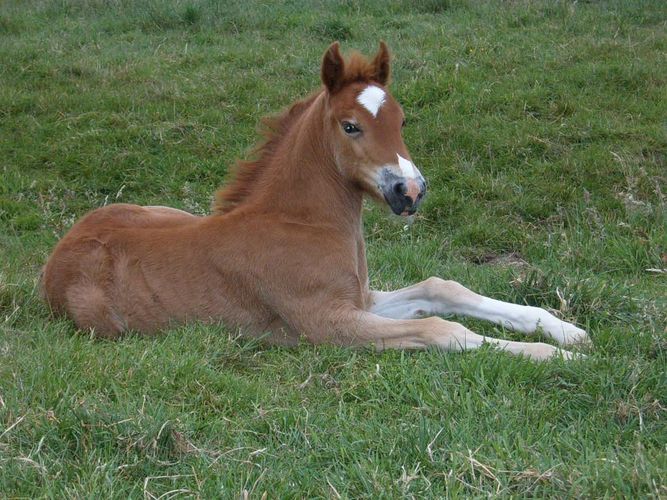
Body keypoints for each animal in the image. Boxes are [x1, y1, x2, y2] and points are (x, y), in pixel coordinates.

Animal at [41, 43, 588, 360]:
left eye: (402, 120)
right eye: (350, 126)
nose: (410, 191)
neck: (301, 224)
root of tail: (57, 255)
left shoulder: (360, 300)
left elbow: (441, 288)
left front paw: (565, 332)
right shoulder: (326, 324)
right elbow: (440, 328)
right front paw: (557, 358)